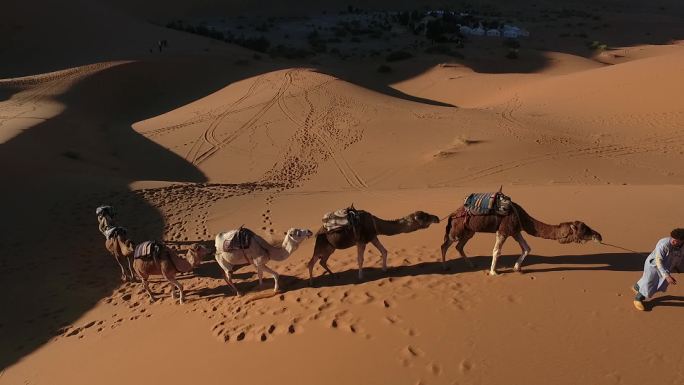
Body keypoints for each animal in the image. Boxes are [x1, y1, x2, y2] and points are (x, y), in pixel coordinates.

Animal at [308, 208, 440, 284]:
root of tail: (319, 232)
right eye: (424, 217)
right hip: (321, 244)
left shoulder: (373, 237)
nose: (437, 218)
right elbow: (360, 259)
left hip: (330, 248)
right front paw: (360, 277)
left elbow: (384, 251)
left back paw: (334, 276)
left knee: (322, 261)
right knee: (312, 262)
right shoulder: (361, 241)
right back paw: (312, 282)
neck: (375, 223)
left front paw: (384, 269)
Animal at [440, 202, 600, 274]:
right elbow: (497, 251)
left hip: (469, 231)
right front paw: (494, 272)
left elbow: (527, 248)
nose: (599, 235)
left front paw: (517, 268)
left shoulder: (515, 231)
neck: (521, 217)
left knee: (459, 246)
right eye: (584, 230)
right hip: (457, 229)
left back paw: (472, 265)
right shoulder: (503, 230)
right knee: (445, 245)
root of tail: (452, 215)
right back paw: (445, 267)